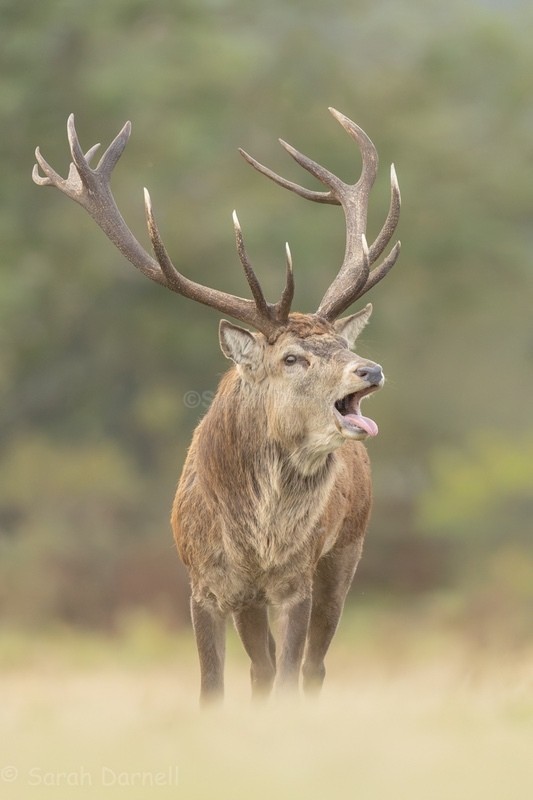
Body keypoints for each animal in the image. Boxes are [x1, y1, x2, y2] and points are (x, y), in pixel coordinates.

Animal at [33, 108, 400, 703]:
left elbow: (290, 677)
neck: (255, 544)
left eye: (340, 345)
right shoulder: (204, 584)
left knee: (311, 667)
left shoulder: (295, 580)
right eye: (292, 357)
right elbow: (213, 686)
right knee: (261, 668)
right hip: (253, 598)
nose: (369, 369)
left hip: (346, 551)